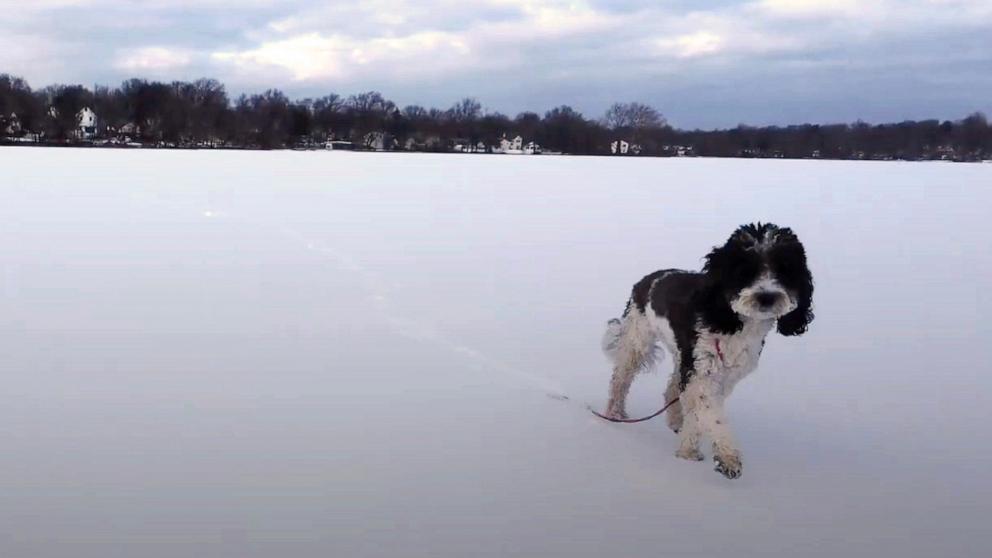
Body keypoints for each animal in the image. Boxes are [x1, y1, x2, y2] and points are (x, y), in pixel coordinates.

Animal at [600, 224, 808, 482]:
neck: (733, 322)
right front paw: (727, 457)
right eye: (744, 270)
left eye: (785, 269)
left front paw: (687, 453)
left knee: (672, 388)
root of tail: (647, 280)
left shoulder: (724, 376)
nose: (767, 297)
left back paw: (675, 419)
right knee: (621, 379)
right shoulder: (703, 373)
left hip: (681, 354)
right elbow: (712, 414)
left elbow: (698, 414)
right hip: (638, 340)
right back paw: (615, 413)